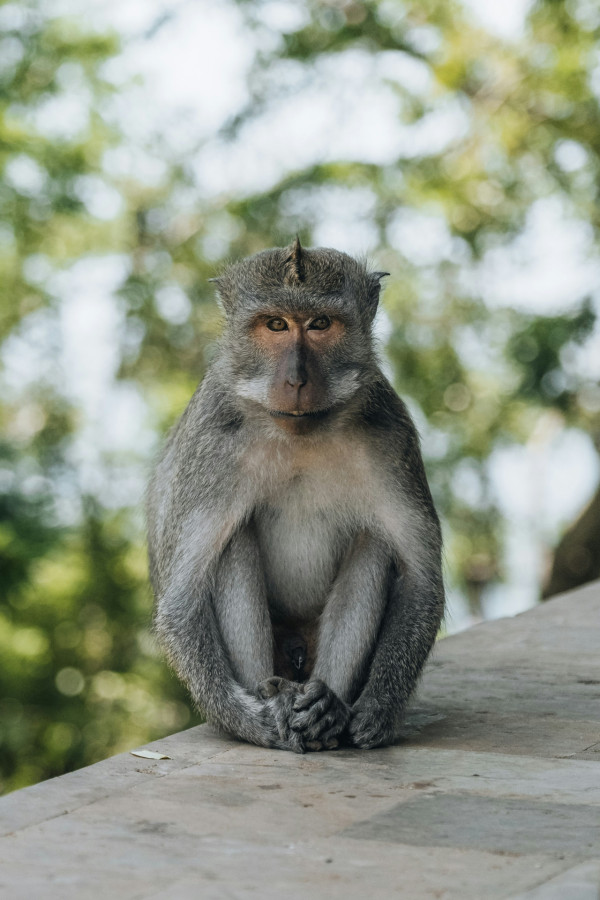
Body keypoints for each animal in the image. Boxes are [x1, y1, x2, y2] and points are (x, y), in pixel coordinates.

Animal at [147, 238, 444, 753]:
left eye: (320, 324)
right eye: (276, 325)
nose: (297, 379)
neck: (300, 431)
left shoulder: (390, 432)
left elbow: (421, 578)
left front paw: (375, 712)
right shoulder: (213, 439)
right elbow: (182, 599)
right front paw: (255, 722)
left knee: (375, 543)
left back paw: (327, 709)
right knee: (232, 542)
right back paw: (274, 698)